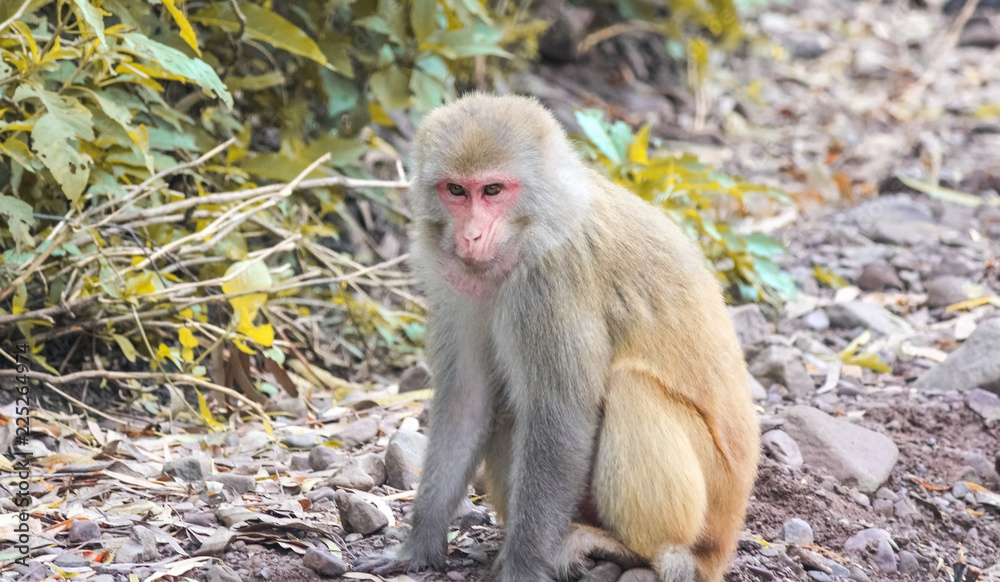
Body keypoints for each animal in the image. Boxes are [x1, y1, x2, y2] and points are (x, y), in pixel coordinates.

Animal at [355, 94, 760, 582]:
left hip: (711, 505)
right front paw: (418, 548)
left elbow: (560, 417)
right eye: (456, 191)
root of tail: (725, 542)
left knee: (630, 387)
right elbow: (469, 402)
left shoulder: (551, 284)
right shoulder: (456, 286)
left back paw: (628, 549)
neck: (532, 229)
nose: (471, 235)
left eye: (493, 191)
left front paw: (524, 568)